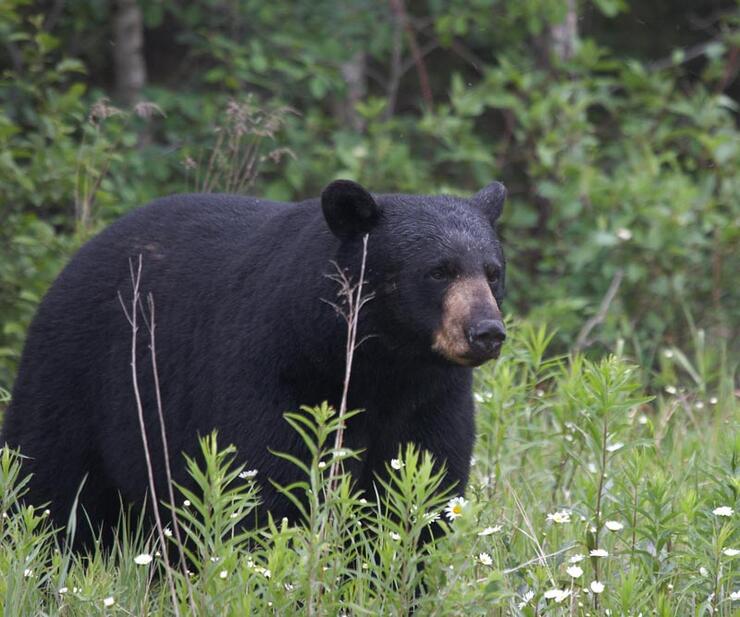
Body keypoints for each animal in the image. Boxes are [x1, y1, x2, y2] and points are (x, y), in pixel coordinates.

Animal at [2, 179, 507, 546]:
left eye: (492, 272)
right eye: (438, 271)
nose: (486, 332)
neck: (378, 366)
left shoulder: (431, 398)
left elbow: (423, 487)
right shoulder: (273, 371)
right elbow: (272, 489)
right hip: (73, 379)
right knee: (47, 483)